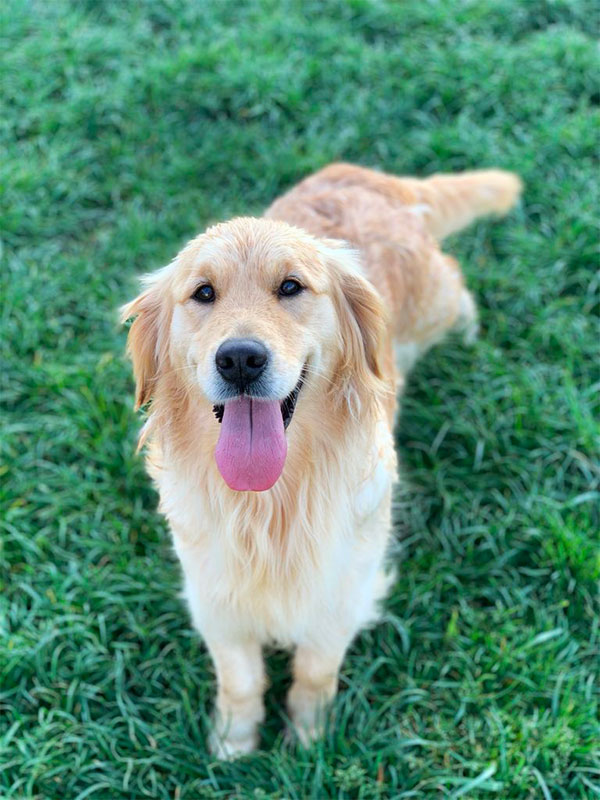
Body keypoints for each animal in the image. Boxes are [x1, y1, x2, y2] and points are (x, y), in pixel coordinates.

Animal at [120, 162, 520, 756]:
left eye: (291, 286)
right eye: (203, 293)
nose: (240, 358)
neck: (270, 504)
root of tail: (368, 175)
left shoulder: (344, 589)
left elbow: (315, 670)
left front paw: (309, 739)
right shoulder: (214, 595)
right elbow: (239, 679)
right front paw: (234, 743)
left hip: (434, 298)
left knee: (456, 283)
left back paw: (469, 332)